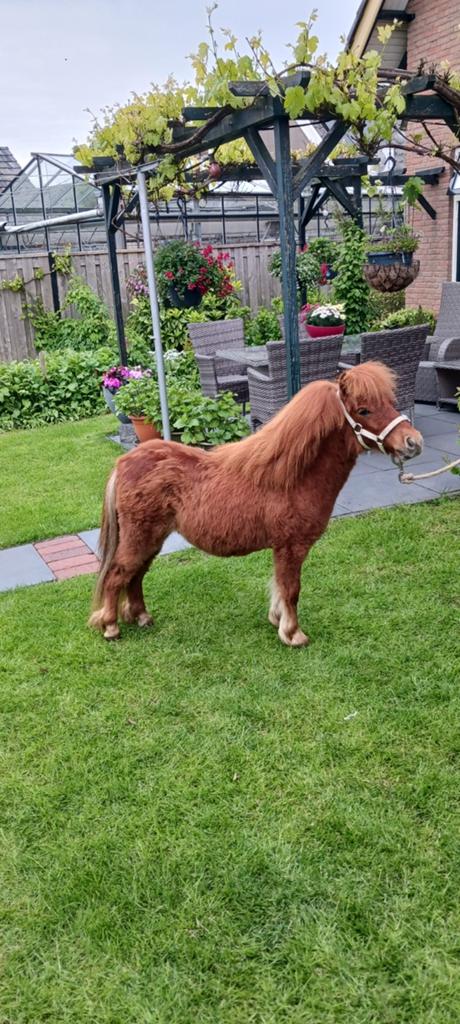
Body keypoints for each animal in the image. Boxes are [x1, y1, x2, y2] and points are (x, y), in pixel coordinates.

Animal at [89, 362, 423, 646]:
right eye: (364, 410)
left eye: (391, 402)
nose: (413, 442)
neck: (291, 477)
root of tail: (124, 462)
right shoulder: (291, 546)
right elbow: (291, 589)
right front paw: (293, 634)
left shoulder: (282, 548)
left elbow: (279, 586)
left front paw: (277, 620)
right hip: (140, 538)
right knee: (118, 574)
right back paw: (111, 626)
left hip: (152, 539)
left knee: (135, 576)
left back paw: (141, 617)